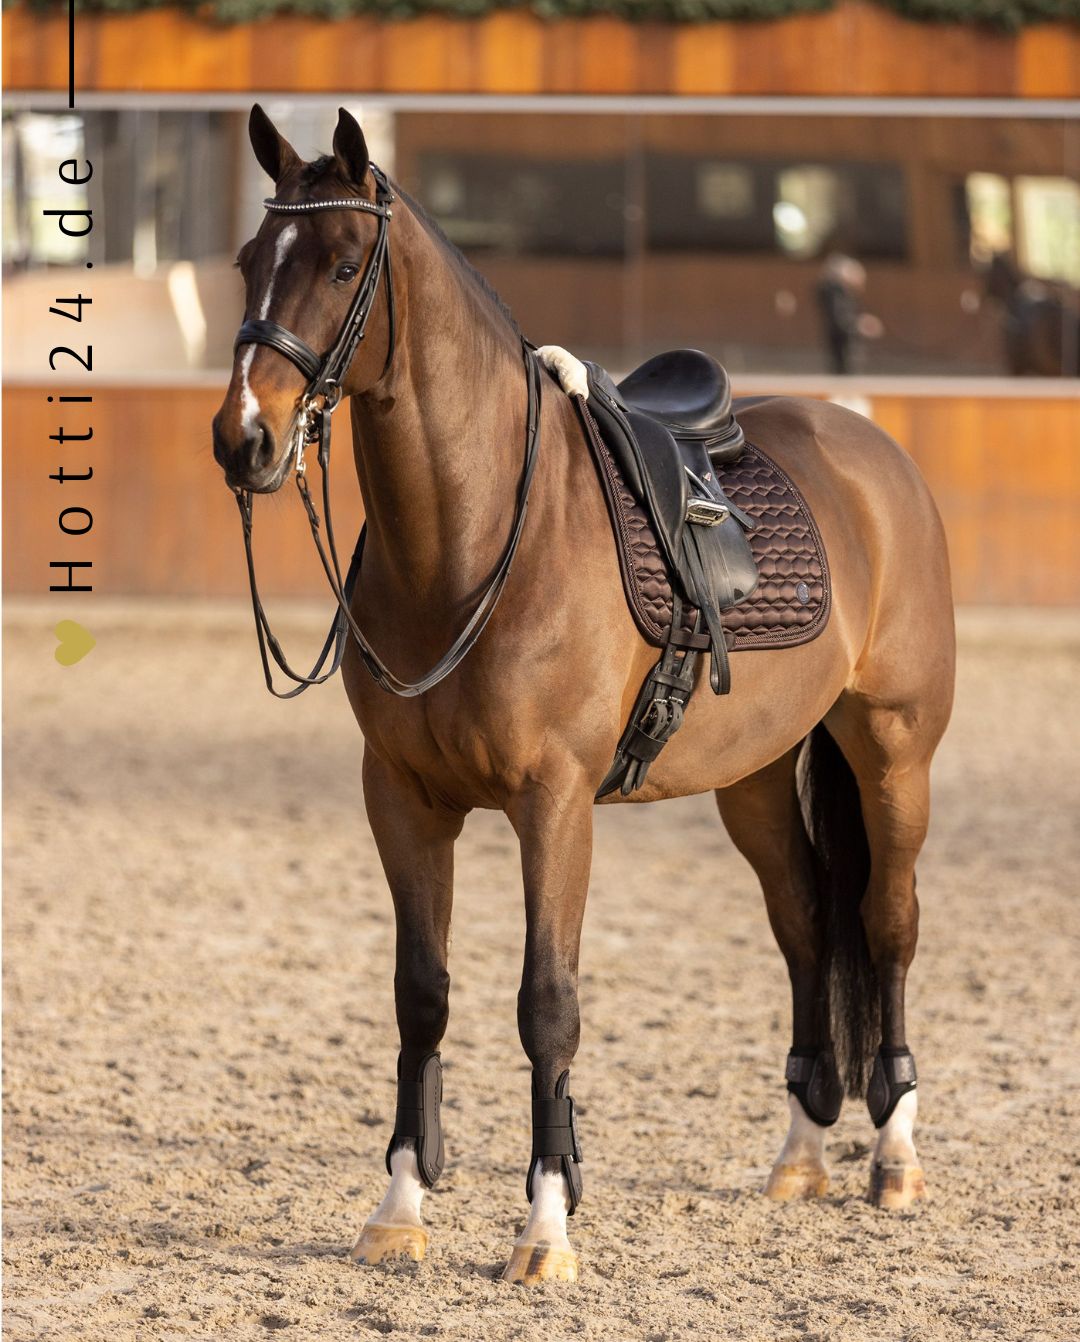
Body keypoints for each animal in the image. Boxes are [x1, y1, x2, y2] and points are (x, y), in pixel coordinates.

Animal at [212, 107, 955, 1287]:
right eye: (250, 260)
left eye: (340, 263)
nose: (243, 437)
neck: (469, 546)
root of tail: (871, 446)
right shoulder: (402, 799)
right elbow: (421, 993)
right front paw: (400, 1207)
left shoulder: (552, 802)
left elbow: (546, 1005)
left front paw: (546, 1225)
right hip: (752, 777)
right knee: (802, 922)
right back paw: (801, 1152)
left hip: (893, 752)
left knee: (885, 924)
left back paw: (894, 1156)